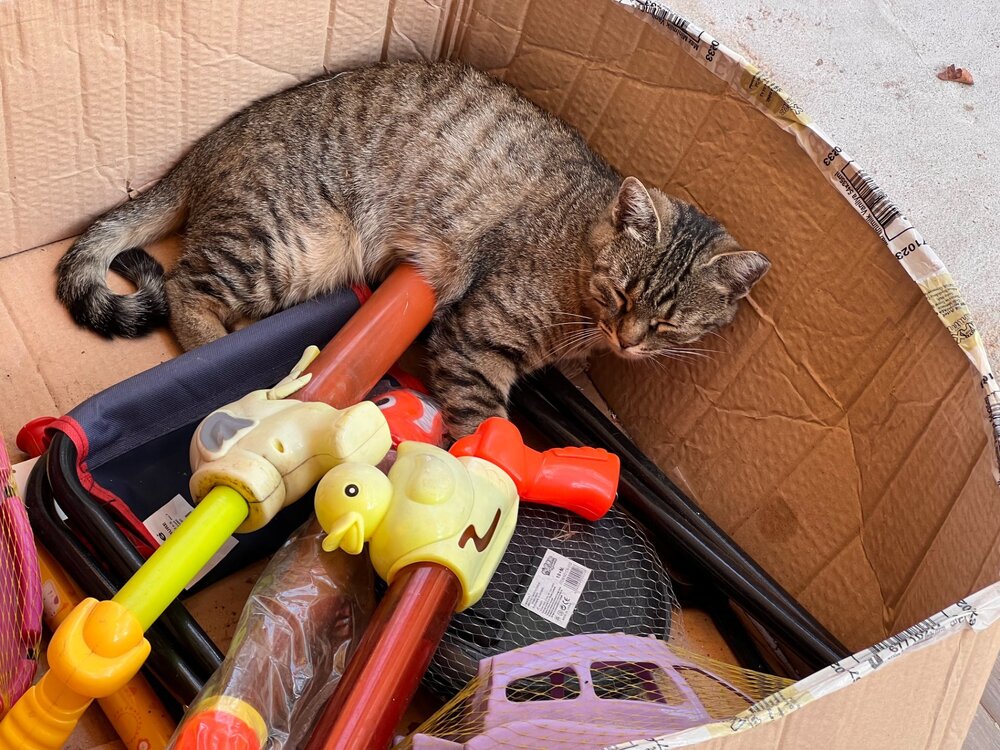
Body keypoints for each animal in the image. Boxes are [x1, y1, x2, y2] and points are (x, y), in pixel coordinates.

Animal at [56, 61, 770, 438]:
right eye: (619, 292)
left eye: (669, 324)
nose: (627, 339)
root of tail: (202, 150)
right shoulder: (476, 333)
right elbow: (483, 422)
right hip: (278, 244)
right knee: (185, 287)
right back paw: (216, 355)